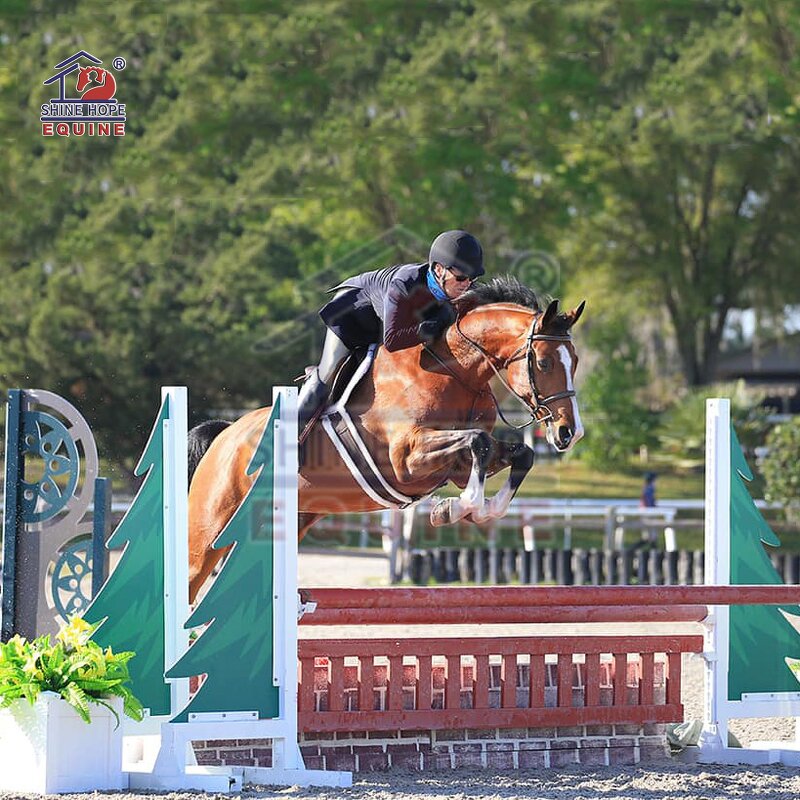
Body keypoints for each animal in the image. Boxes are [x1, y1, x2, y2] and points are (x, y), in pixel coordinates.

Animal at [187, 277, 585, 602]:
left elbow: (518, 454)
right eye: (544, 363)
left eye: (576, 361)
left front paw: (463, 509)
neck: (454, 371)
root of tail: (225, 434)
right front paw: (454, 509)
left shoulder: (455, 467)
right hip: (210, 529)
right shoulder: (405, 460)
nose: (570, 432)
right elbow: (478, 444)